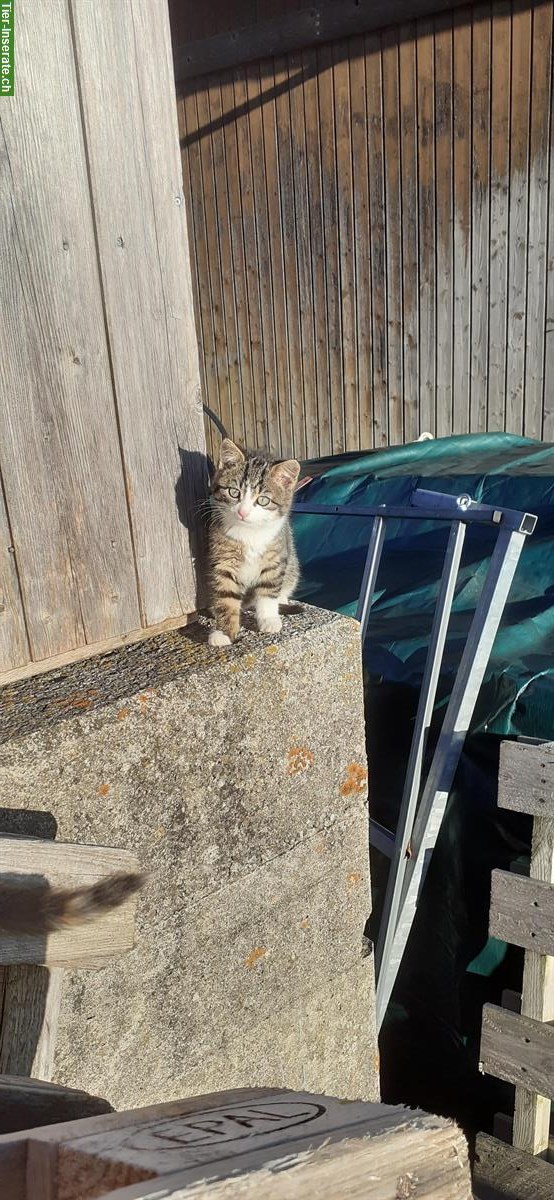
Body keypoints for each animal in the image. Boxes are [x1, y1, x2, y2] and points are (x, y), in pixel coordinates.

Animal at [207, 441, 300, 648]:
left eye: (263, 500)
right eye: (234, 492)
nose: (243, 512)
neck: (249, 532)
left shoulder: (276, 557)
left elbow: (269, 589)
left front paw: (269, 619)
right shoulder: (223, 560)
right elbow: (226, 596)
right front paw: (224, 632)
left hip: (292, 561)